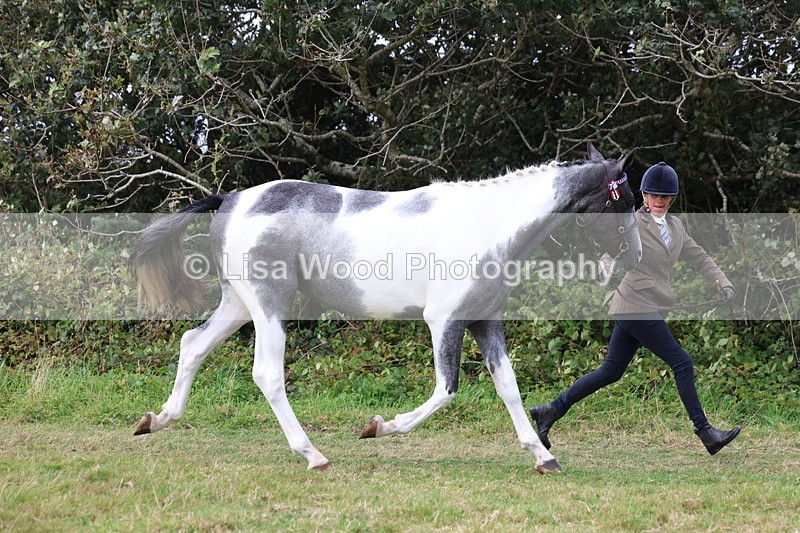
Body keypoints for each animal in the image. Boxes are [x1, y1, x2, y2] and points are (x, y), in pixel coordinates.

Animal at [131, 142, 641, 474]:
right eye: (624, 200)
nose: (635, 256)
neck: (489, 226)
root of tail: (232, 199)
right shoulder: (444, 322)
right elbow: (446, 390)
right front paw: (378, 427)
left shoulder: (485, 320)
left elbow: (509, 389)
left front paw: (543, 456)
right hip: (269, 305)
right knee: (267, 373)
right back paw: (314, 455)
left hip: (238, 302)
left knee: (193, 344)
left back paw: (157, 420)